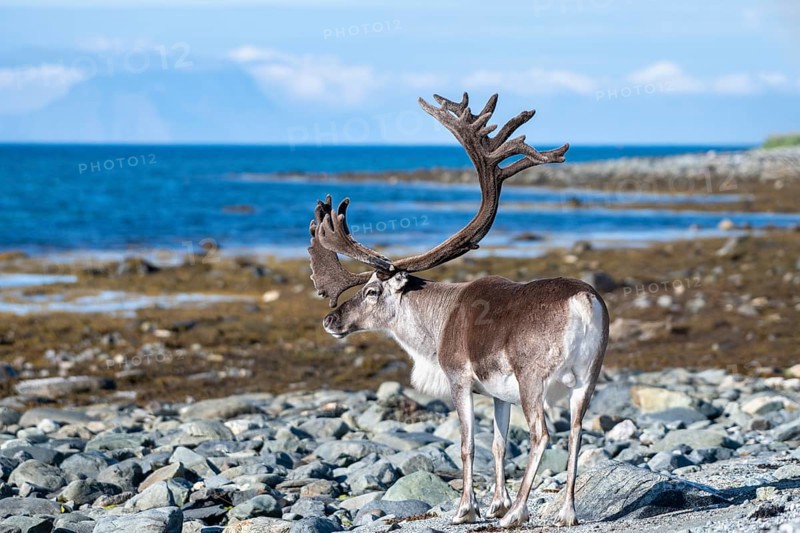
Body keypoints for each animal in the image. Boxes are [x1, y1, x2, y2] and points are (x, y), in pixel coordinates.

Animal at [308, 93, 609, 528]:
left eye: (371, 290)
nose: (330, 319)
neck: (435, 326)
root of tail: (583, 302)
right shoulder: (500, 393)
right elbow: (500, 443)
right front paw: (496, 502)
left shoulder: (459, 377)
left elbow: (468, 444)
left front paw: (467, 508)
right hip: (587, 377)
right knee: (577, 431)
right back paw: (566, 512)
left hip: (533, 376)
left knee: (542, 434)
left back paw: (516, 514)